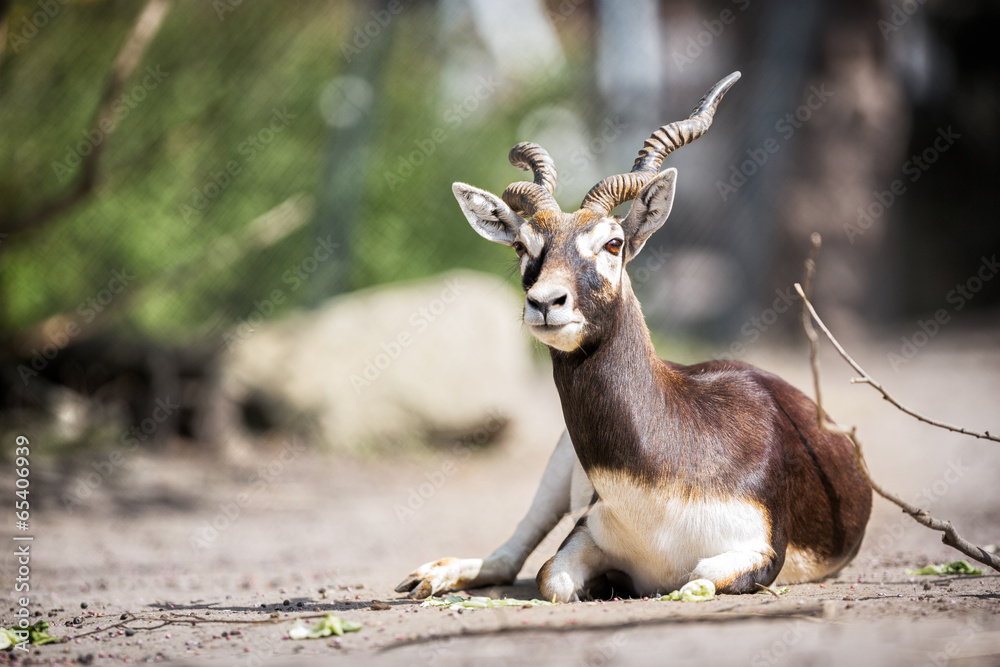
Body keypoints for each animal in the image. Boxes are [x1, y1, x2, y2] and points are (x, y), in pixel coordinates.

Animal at [396, 72, 871, 602]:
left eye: (613, 243)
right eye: (522, 245)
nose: (545, 302)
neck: (663, 480)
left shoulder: (761, 550)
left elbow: (697, 580)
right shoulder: (585, 530)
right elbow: (552, 578)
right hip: (558, 464)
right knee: (508, 556)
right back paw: (428, 576)